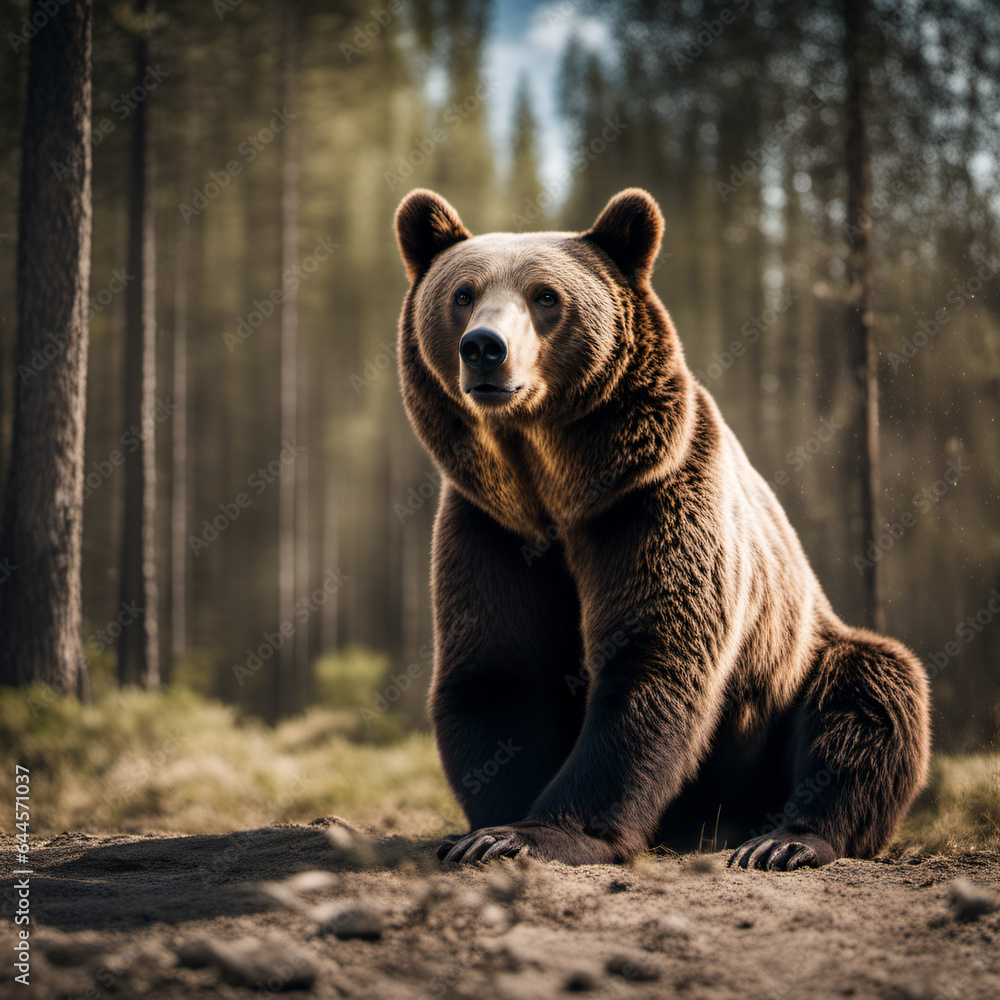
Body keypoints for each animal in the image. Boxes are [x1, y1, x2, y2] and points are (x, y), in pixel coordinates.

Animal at [394, 186, 931, 871]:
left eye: (546, 296)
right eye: (463, 293)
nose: (485, 348)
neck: (552, 485)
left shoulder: (650, 500)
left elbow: (653, 657)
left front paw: (536, 833)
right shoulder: (491, 527)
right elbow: (497, 668)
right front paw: (486, 828)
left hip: (800, 661)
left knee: (871, 697)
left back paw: (784, 840)